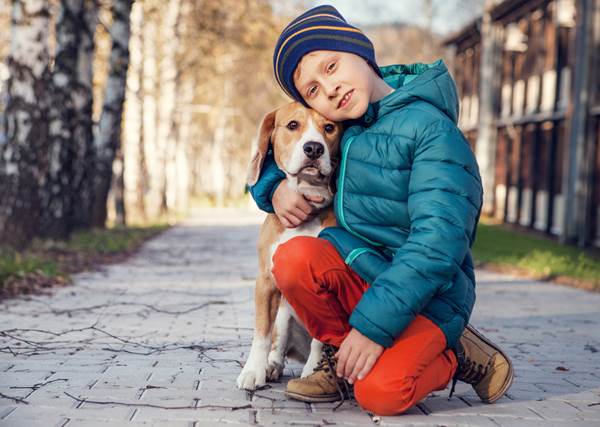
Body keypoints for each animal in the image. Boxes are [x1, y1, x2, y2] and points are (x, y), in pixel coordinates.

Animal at [238, 101, 342, 392]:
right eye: (293, 125)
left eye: (329, 127)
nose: (314, 148)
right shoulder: (265, 282)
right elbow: (261, 333)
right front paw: (253, 371)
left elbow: (321, 339)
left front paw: (312, 372)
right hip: (284, 312)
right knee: (278, 344)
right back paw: (271, 366)